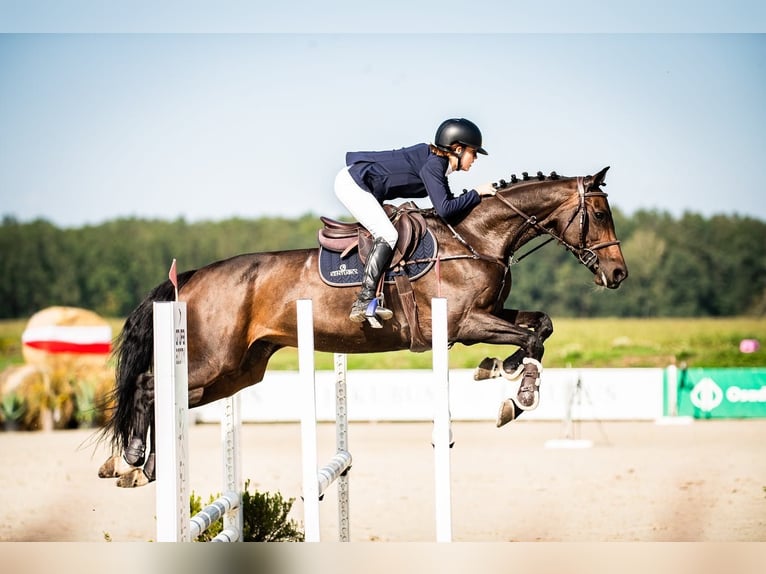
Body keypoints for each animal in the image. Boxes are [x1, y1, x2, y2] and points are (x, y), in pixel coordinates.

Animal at [98, 166, 627, 487]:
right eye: (600, 213)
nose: (618, 274)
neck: (475, 238)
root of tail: (189, 278)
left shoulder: (489, 316)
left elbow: (540, 325)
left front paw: (501, 370)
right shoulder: (463, 322)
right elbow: (533, 336)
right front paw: (518, 394)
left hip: (236, 373)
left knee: (167, 399)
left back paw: (140, 466)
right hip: (212, 361)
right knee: (148, 386)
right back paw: (130, 459)